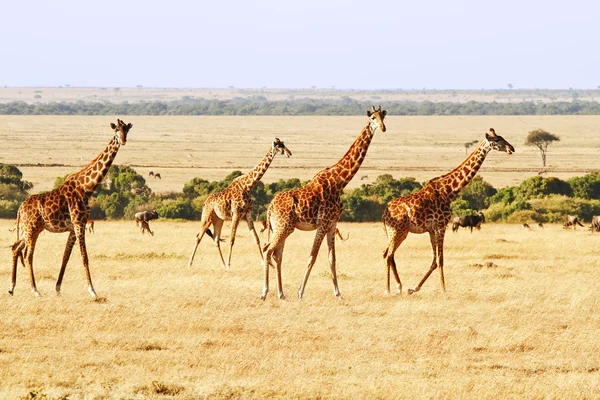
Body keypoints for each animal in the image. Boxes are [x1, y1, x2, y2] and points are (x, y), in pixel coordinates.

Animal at [8, 119, 132, 296]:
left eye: (126, 130)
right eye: (116, 131)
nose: (123, 140)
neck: (87, 188)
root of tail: (20, 208)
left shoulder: (74, 227)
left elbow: (65, 257)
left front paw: (58, 289)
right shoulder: (79, 224)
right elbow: (84, 257)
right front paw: (92, 291)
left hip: (30, 229)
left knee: (15, 248)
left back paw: (12, 288)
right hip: (31, 228)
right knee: (28, 255)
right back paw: (35, 290)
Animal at [186, 137, 292, 268]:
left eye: (283, 144)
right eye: (279, 146)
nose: (289, 153)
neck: (248, 186)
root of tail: (205, 203)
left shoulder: (248, 213)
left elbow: (256, 238)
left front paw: (265, 262)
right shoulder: (236, 213)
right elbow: (232, 239)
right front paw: (229, 263)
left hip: (218, 219)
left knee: (216, 239)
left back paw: (222, 264)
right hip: (207, 217)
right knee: (198, 237)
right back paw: (190, 263)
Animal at [264, 106, 390, 300]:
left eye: (383, 117)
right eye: (372, 118)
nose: (382, 128)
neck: (340, 182)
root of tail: (270, 207)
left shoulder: (332, 224)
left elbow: (332, 258)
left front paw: (338, 293)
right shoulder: (323, 223)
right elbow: (312, 257)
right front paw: (300, 292)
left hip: (281, 227)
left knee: (276, 254)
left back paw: (280, 293)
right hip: (282, 227)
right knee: (268, 251)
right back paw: (265, 292)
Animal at [382, 128, 512, 294]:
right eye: (497, 140)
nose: (511, 148)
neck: (449, 191)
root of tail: (384, 213)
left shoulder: (432, 229)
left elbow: (434, 261)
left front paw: (414, 288)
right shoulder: (441, 226)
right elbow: (440, 259)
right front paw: (444, 290)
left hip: (398, 232)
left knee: (388, 254)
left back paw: (399, 287)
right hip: (397, 231)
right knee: (388, 255)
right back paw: (388, 290)